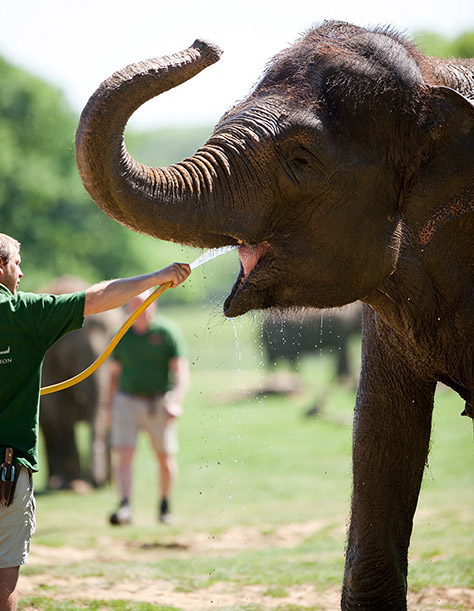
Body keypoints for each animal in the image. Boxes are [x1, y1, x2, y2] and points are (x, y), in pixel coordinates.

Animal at [40, 274, 123, 490]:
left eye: (114, 353)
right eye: (71, 356)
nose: (98, 484)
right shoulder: (48, 362)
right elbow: (59, 409)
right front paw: (75, 486)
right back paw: (56, 482)